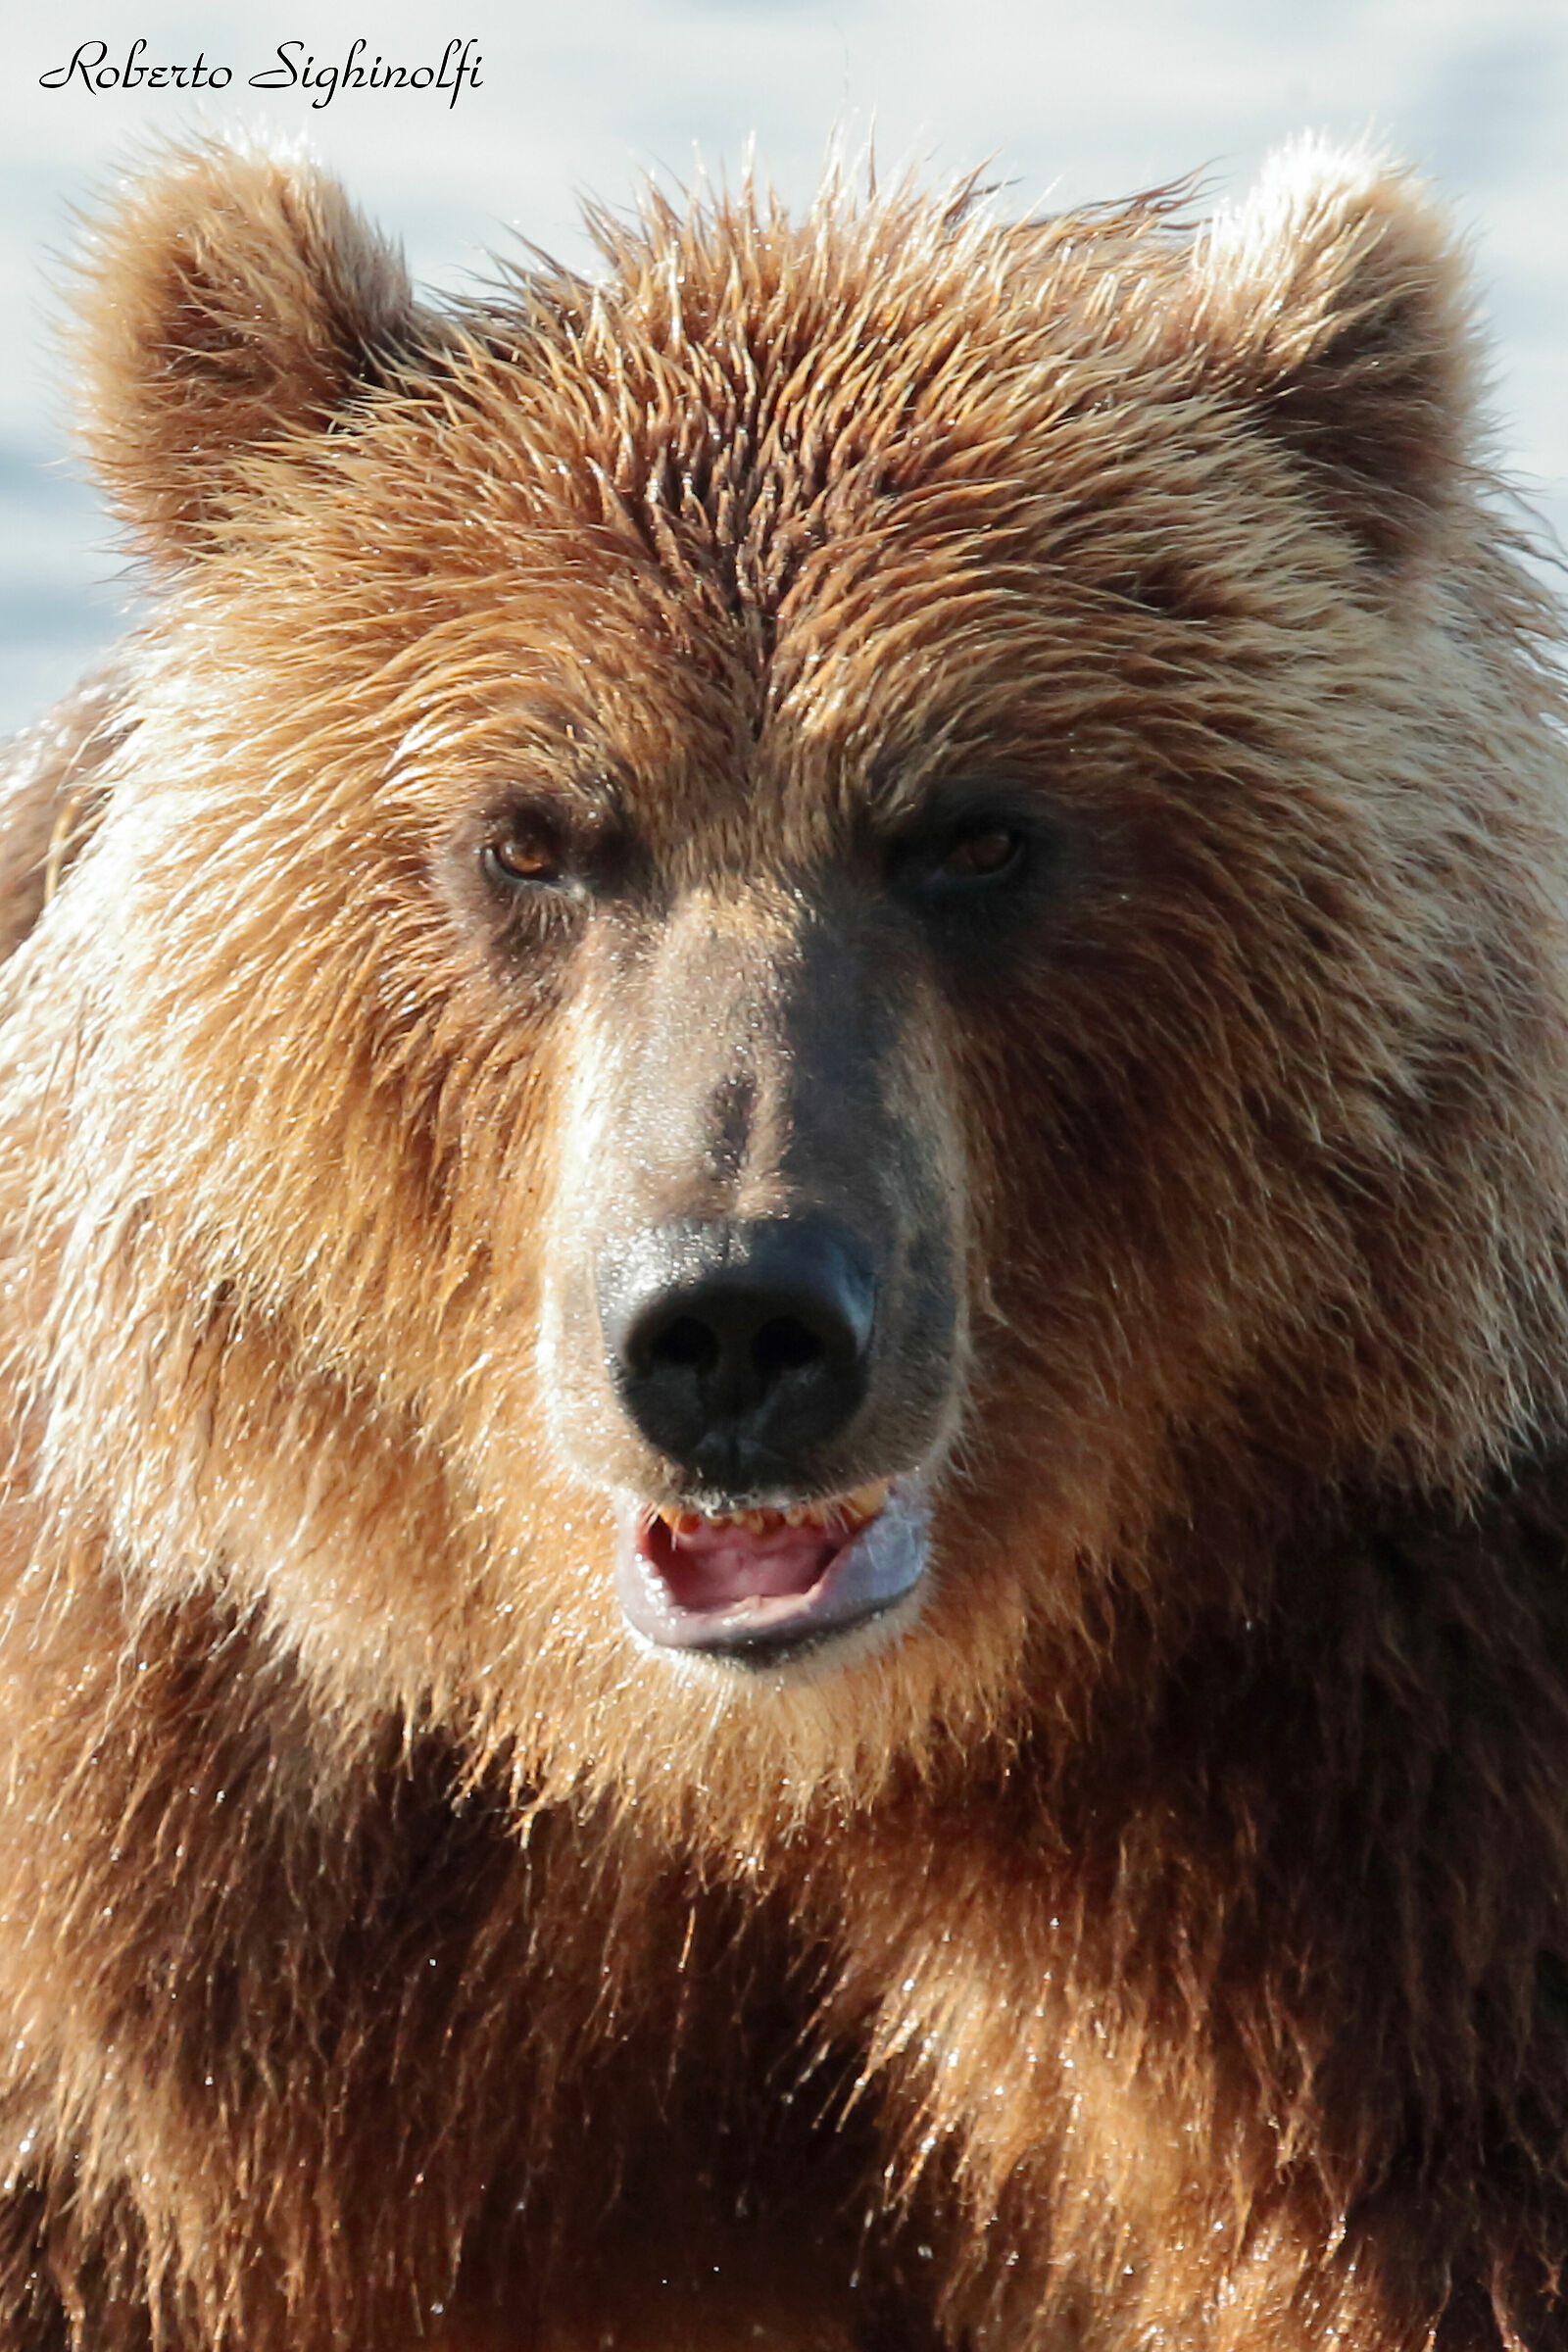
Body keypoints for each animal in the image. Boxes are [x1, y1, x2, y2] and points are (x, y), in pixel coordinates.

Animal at [1, 128, 1568, 2351]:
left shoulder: (1381, 1876)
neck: (759, 1768)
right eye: (534, 835)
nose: (733, 1324)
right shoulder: (190, 1936)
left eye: (972, 830)